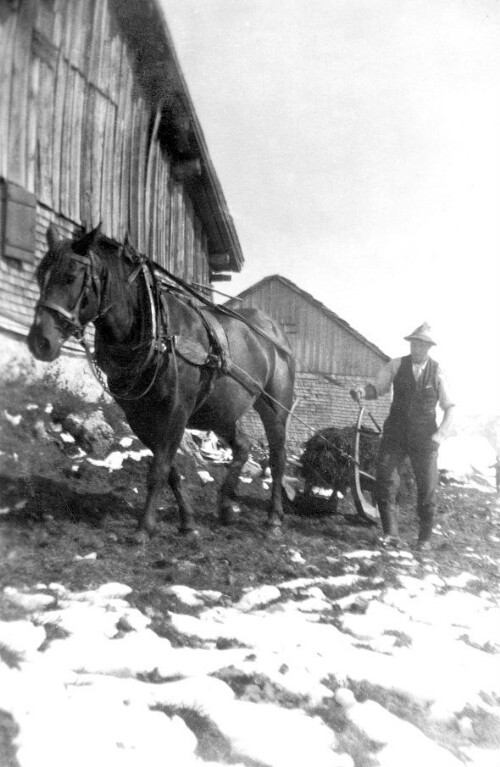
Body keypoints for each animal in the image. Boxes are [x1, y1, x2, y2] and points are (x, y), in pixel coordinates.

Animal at [27, 225, 294, 540]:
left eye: (70, 276)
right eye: (39, 275)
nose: (39, 341)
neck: (158, 334)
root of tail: (274, 330)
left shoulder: (176, 412)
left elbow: (159, 469)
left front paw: (144, 527)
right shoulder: (138, 416)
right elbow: (169, 471)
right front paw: (187, 522)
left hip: (274, 407)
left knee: (277, 458)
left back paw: (274, 518)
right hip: (221, 411)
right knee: (243, 445)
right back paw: (226, 506)